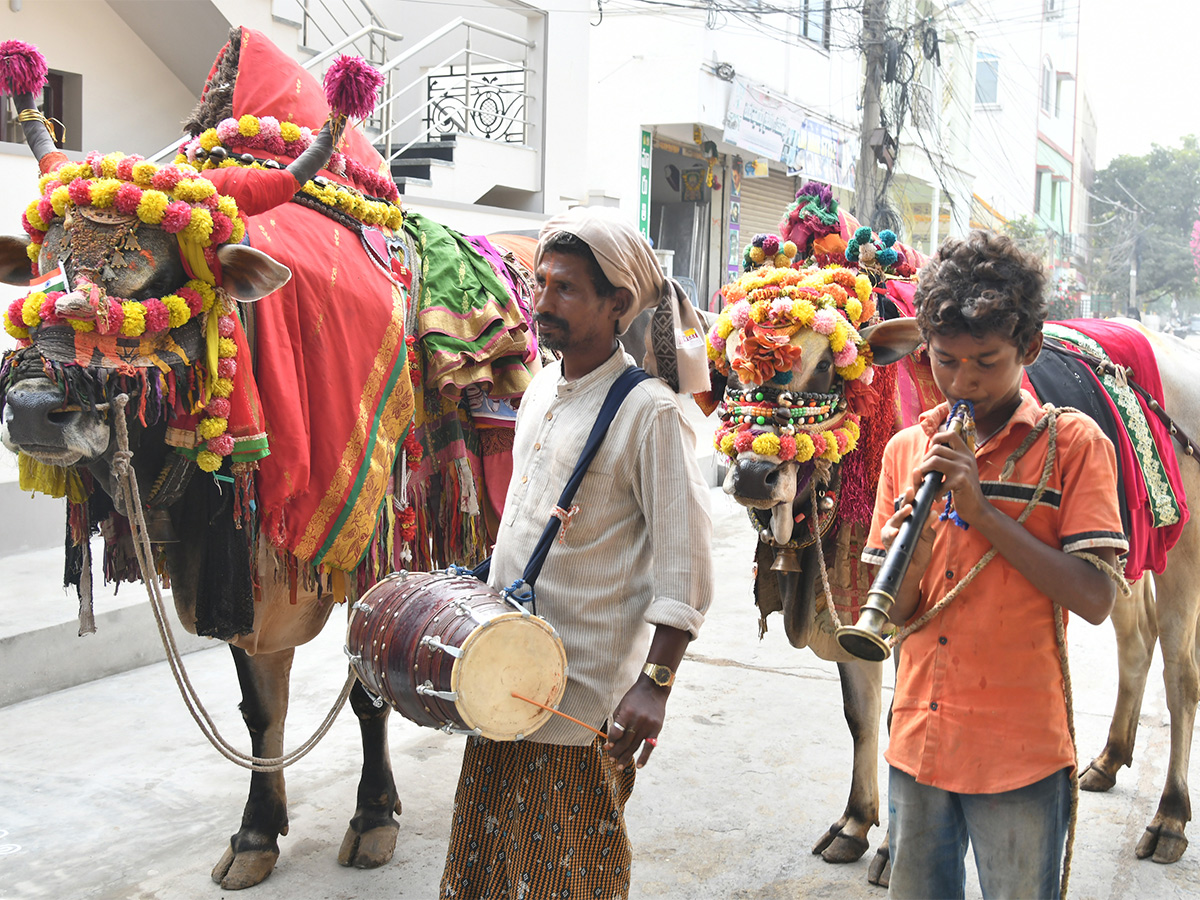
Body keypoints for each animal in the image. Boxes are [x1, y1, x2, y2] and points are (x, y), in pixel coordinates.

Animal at [0, 31, 535, 892]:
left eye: (156, 278)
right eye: (43, 268)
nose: (32, 411)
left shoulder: (366, 546)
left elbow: (367, 694)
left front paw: (373, 818)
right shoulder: (240, 575)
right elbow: (261, 708)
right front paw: (257, 831)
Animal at [710, 181, 1200, 883]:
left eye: (826, 370)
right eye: (730, 368)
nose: (754, 473)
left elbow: (896, 717)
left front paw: (893, 849)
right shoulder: (853, 586)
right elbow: (861, 713)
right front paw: (855, 822)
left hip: (1185, 549)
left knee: (1182, 672)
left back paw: (1170, 816)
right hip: (1122, 550)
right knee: (1137, 642)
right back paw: (1107, 760)